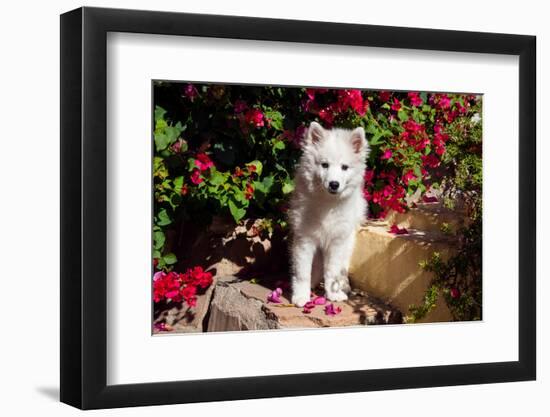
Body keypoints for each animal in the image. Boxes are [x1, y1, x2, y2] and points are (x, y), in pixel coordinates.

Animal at [288, 120, 370, 306]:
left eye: (344, 167)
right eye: (324, 165)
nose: (334, 184)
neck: (328, 203)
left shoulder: (337, 242)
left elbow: (332, 271)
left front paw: (333, 294)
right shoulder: (305, 239)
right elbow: (302, 272)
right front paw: (301, 296)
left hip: (348, 241)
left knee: (342, 268)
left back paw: (344, 285)